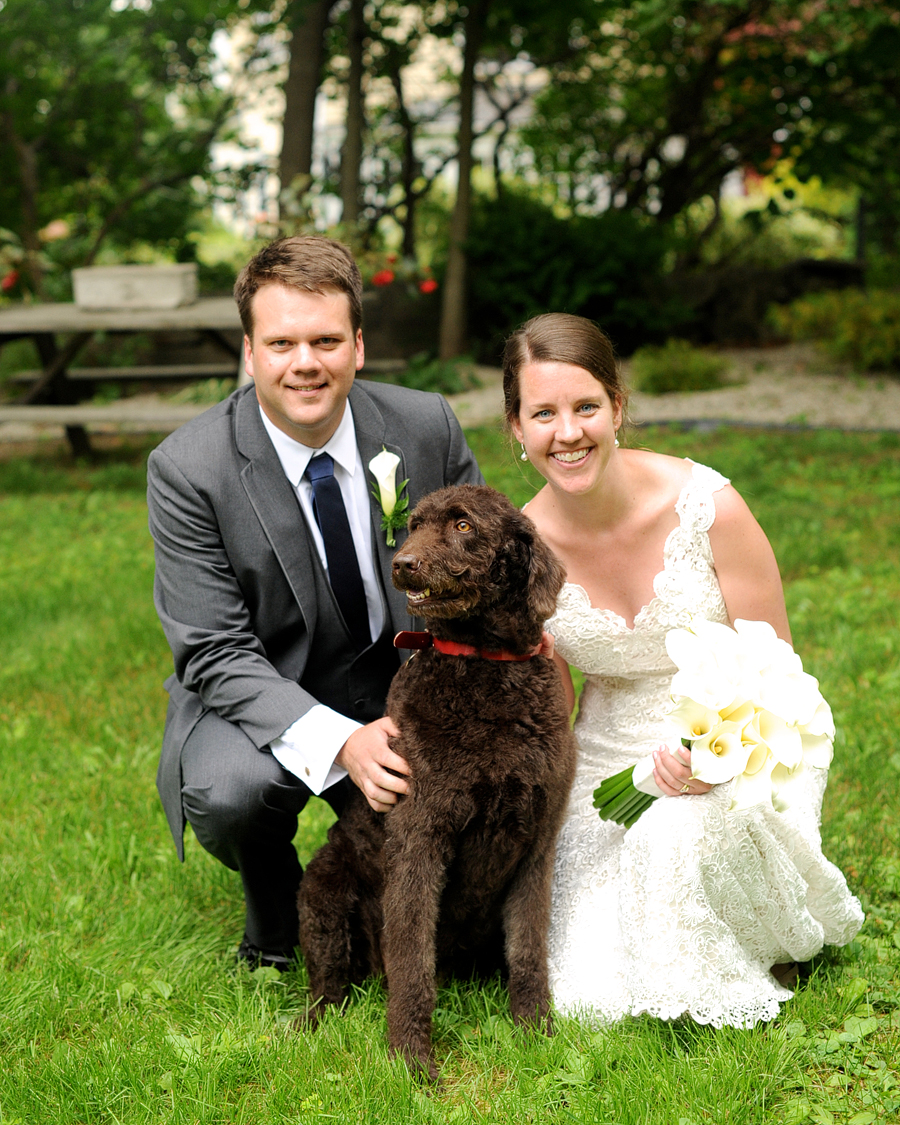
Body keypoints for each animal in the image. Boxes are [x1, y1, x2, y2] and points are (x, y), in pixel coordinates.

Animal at [297, 483, 576, 1080]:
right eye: (414, 524)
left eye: (464, 525)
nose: (403, 564)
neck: (486, 668)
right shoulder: (419, 838)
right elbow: (412, 966)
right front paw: (410, 1061)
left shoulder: (538, 843)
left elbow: (528, 952)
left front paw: (536, 1035)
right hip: (323, 887)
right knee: (329, 985)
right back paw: (308, 1027)